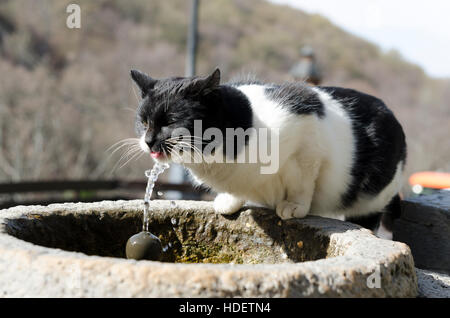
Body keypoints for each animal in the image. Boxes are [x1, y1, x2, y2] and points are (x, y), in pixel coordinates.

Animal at [130, 67, 408, 226]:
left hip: (372, 200)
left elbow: (302, 184)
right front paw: (230, 201)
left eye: (171, 121)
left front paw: (294, 207)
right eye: (143, 122)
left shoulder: (307, 140)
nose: (149, 140)